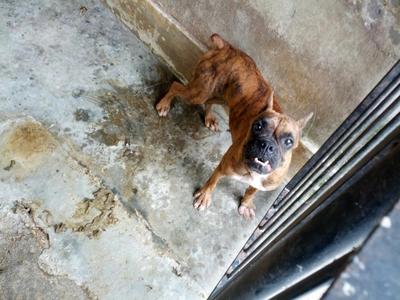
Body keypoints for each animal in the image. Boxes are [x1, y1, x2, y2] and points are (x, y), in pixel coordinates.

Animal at [155, 34, 312, 219]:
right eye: (257, 126)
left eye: (288, 141)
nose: (265, 145)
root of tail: (228, 48)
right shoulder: (224, 166)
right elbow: (212, 181)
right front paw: (204, 196)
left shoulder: (262, 184)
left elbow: (251, 191)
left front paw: (246, 203)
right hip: (198, 92)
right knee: (176, 87)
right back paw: (164, 104)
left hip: (220, 95)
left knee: (209, 102)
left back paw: (209, 118)